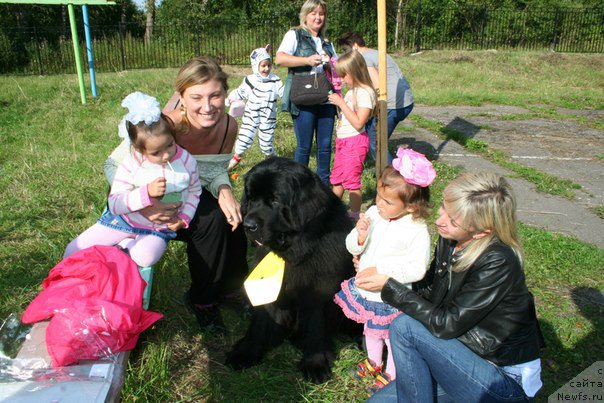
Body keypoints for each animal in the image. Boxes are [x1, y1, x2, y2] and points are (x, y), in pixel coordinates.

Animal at [229, 156, 356, 384]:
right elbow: (260, 321)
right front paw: (246, 352)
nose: (248, 225)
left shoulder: (319, 289)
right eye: (251, 198)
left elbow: (315, 326)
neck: (296, 250)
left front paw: (315, 364)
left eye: (275, 201)